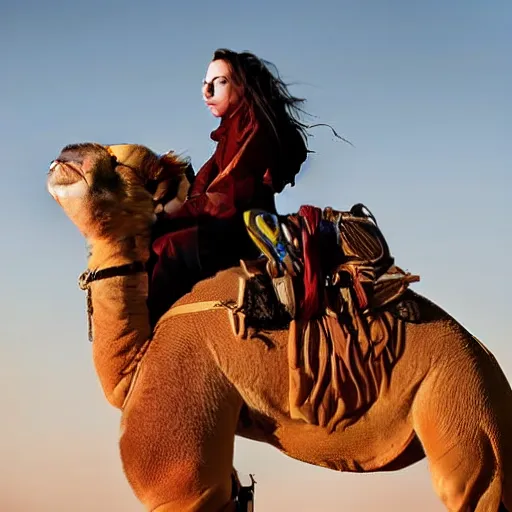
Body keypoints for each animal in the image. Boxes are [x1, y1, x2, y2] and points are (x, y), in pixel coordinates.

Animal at [47, 141, 512, 512]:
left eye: (118, 161)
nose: (67, 155)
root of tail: (489, 360)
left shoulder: (182, 454)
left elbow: (180, 482)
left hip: (463, 399)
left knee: (474, 489)